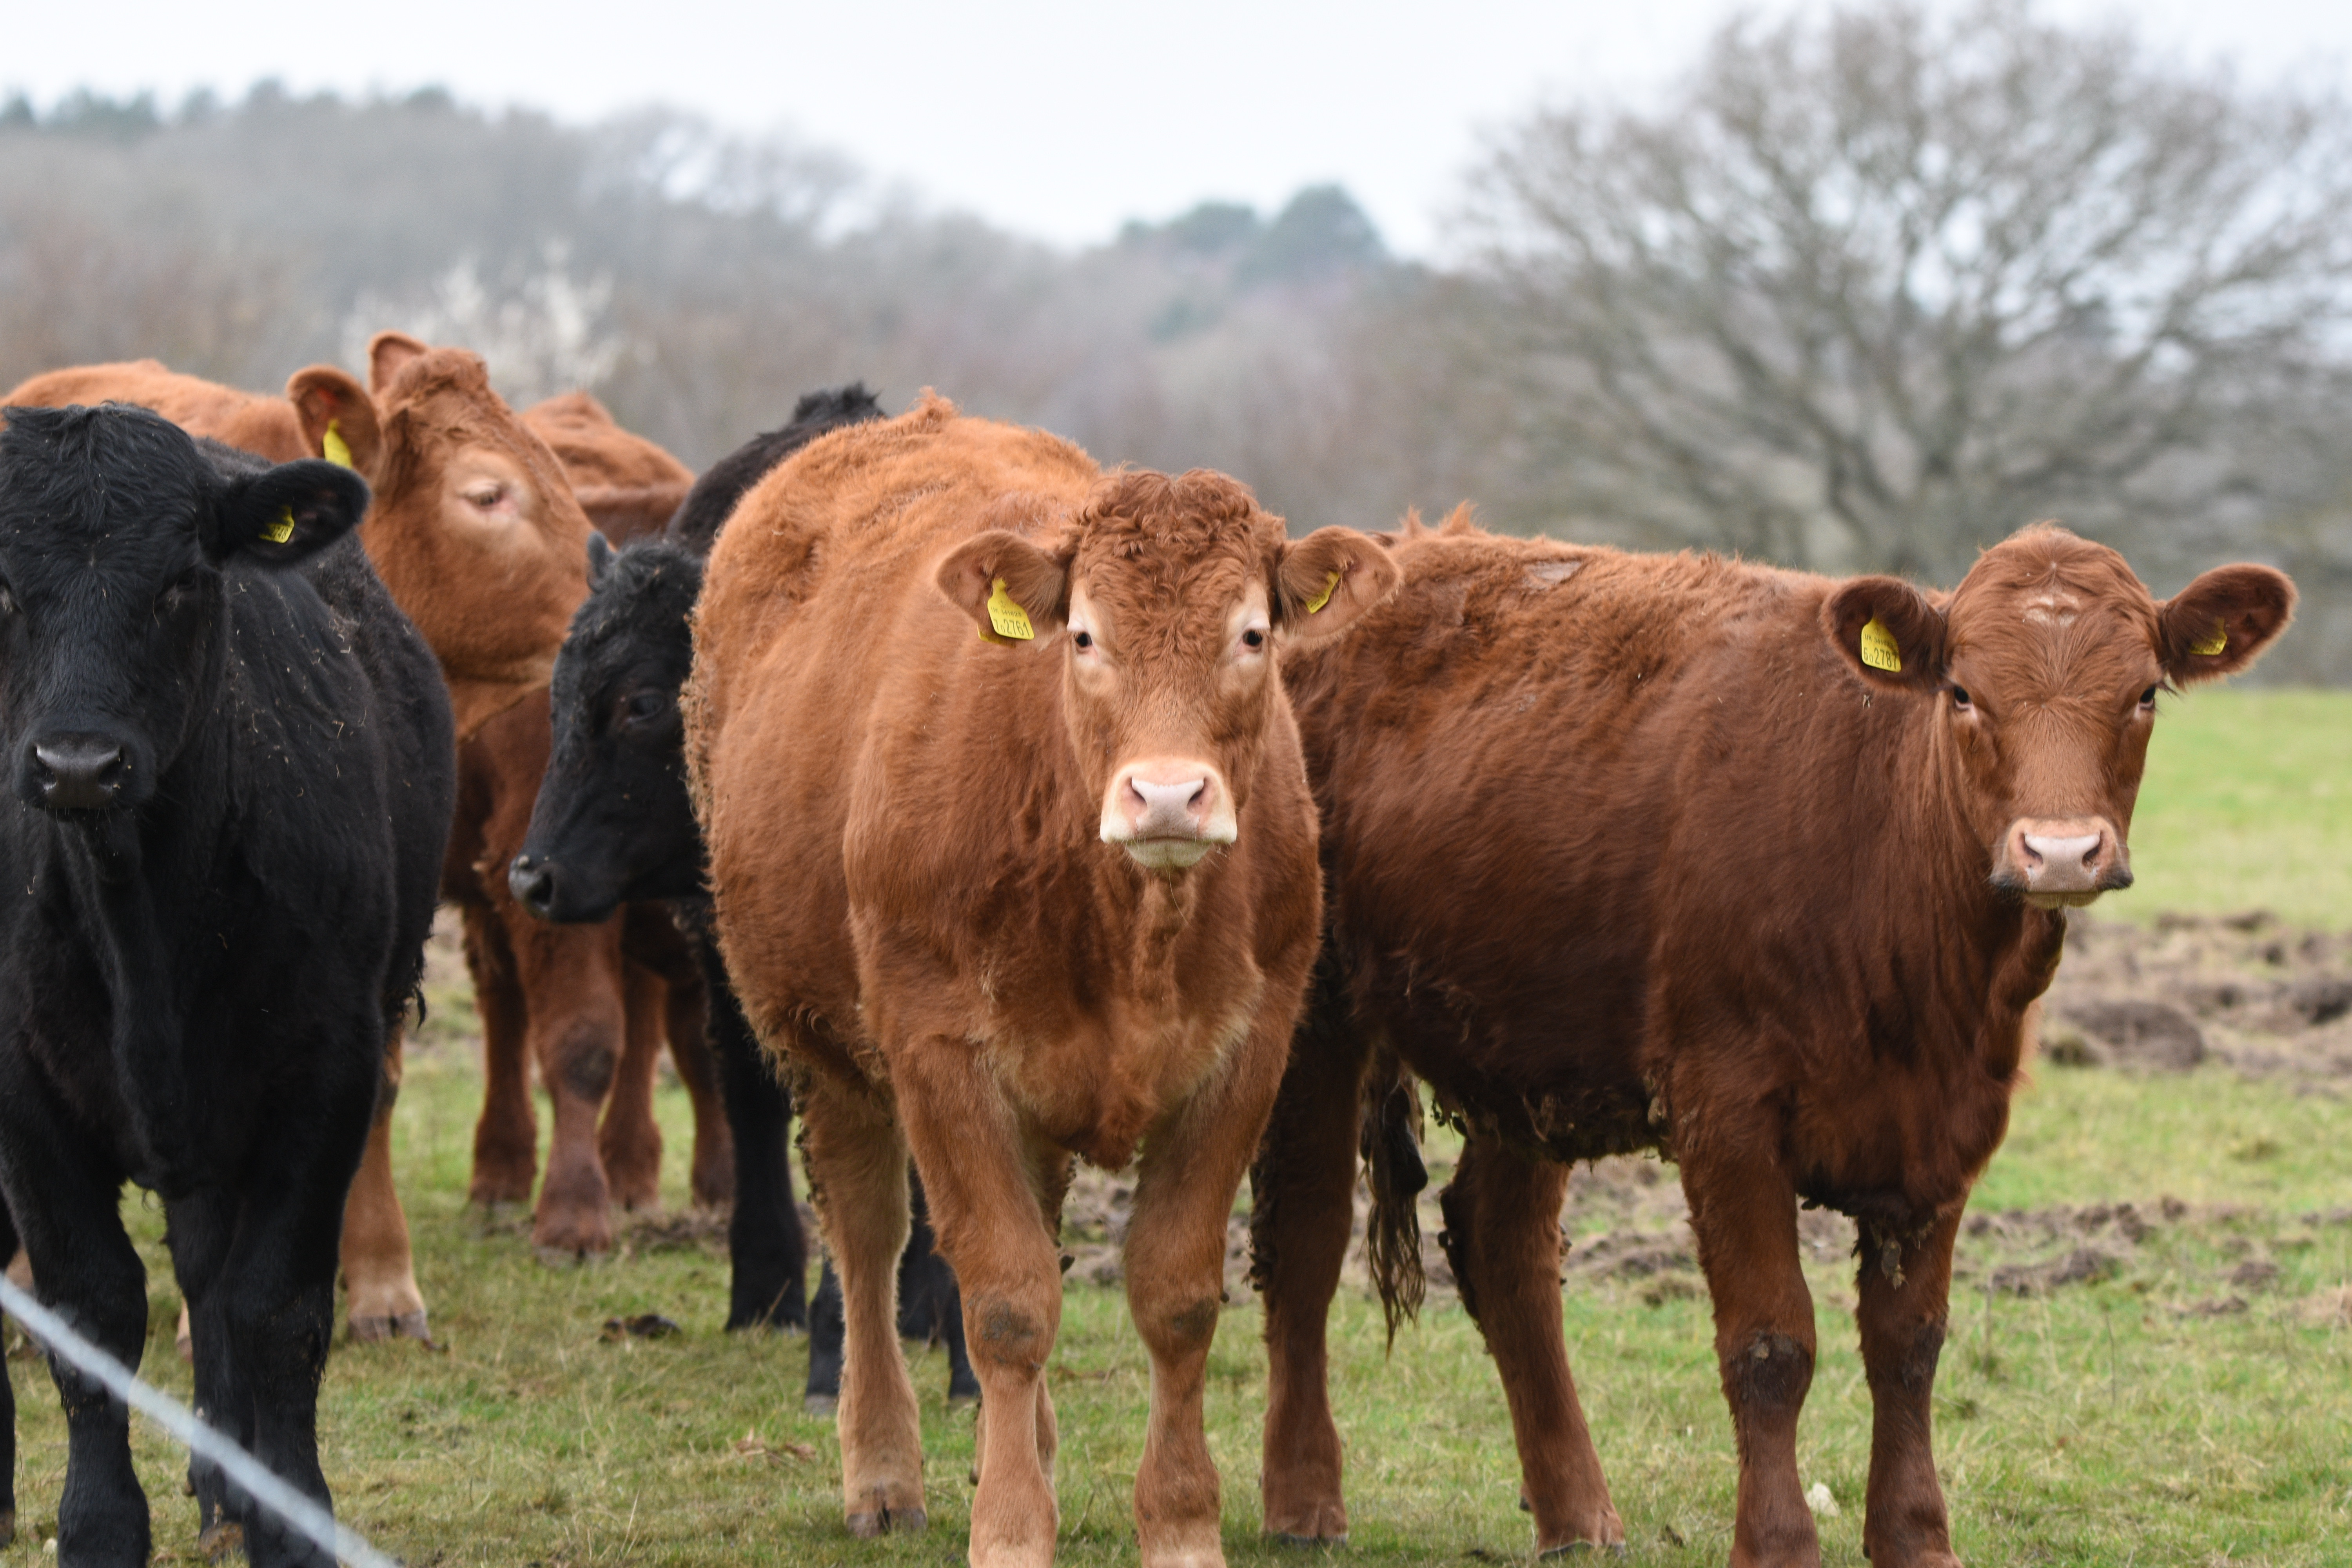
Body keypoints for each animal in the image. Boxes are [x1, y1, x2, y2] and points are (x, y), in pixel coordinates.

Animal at [0, 409, 452, 1568]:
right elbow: (91, 1309)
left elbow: (272, 1308)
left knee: (210, 1275)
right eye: (4, 586)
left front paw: (290, 1517)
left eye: (180, 582)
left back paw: (226, 1485)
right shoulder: (23, 1094)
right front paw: (98, 1526)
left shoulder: (325, 1073)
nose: (77, 763)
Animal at [687, 395, 1392, 1568]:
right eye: (1084, 635)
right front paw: (1012, 1530)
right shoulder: (938, 1052)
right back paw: (885, 1472)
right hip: (819, 1038)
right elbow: (1007, 1302)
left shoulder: (1247, 1051)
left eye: (1252, 634)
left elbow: (1175, 1296)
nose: (1167, 796)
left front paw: (1180, 1526)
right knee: (869, 1236)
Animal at [1251, 512, 2296, 1561]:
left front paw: (1916, 1534)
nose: (2062, 852)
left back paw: (1578, 1514)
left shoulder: (1948, 1125)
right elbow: (1770, 1342)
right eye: (1963, 691)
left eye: (2143, 693)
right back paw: (1304, 1498)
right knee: (1307, 1229)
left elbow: (1909, 1343)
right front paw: (1780, 1538)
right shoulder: (1727, 1113)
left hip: (1527, 1042)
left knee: (1505, 1246)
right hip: (1314, 1012)